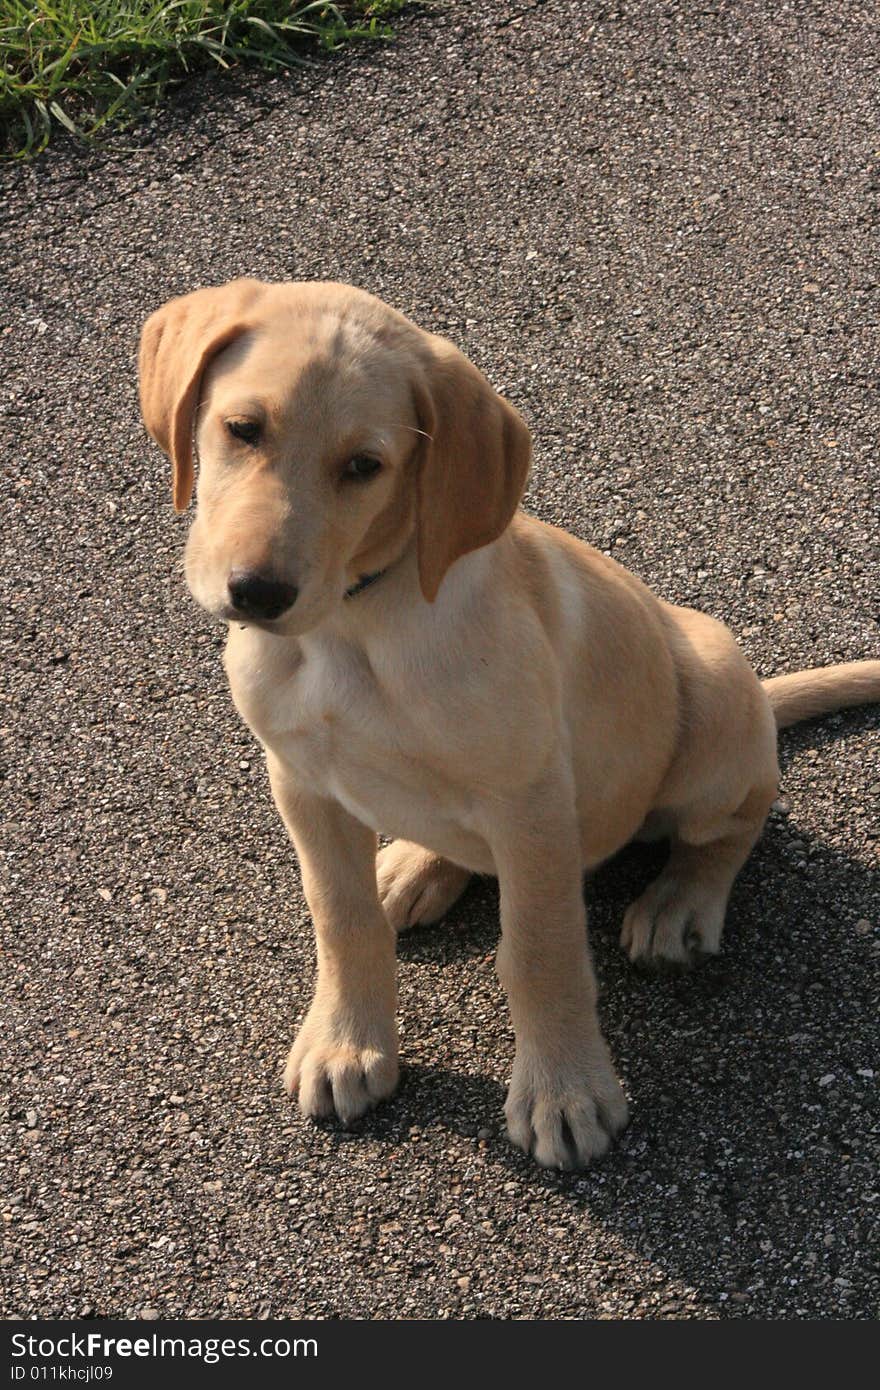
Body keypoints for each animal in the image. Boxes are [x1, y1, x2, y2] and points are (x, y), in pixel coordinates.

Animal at [139, 282, 878, 1173]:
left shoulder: (529, 801)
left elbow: (538, 950)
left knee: (736, 822)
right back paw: (415, 867)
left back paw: (679, 900)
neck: (354, 625)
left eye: (364, 467)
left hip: (714, 707)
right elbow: (342, 917)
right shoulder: (303, 784)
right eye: (242, 428)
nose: (256, 593)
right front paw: (347, 1042)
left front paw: (565, 1091)